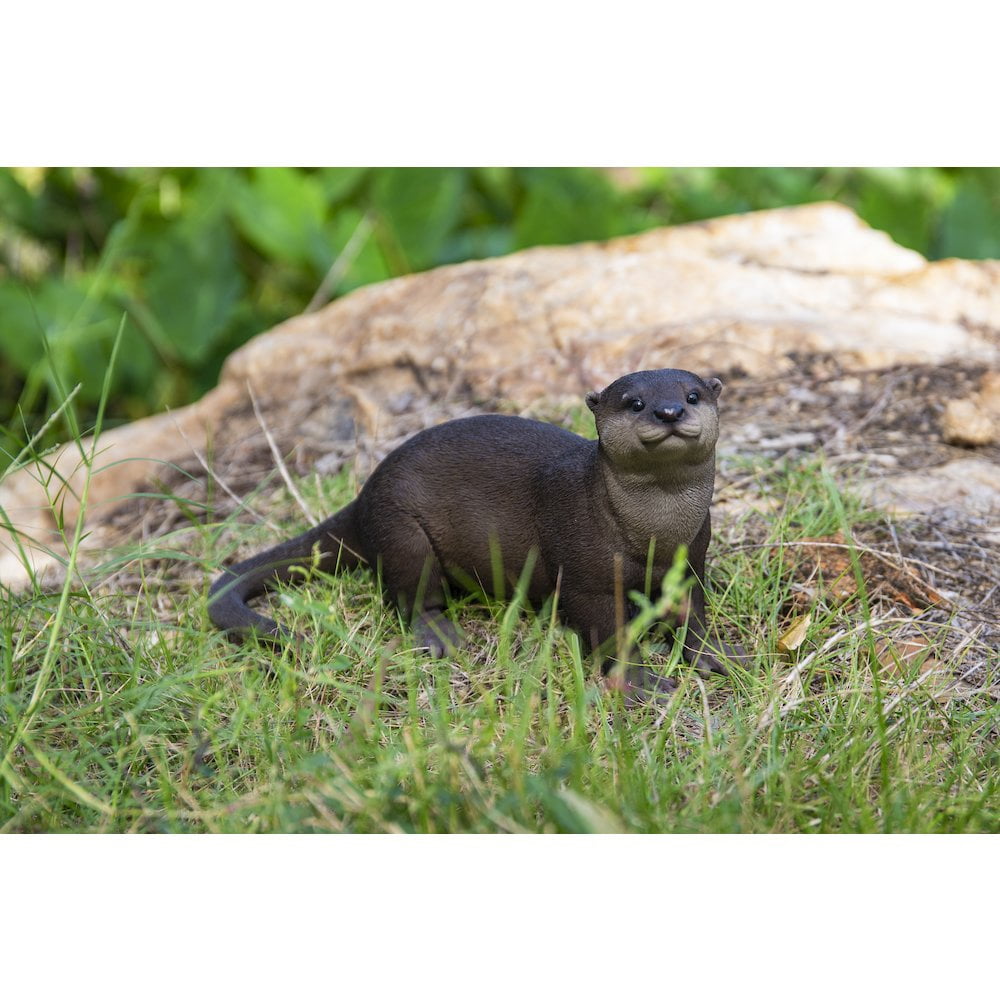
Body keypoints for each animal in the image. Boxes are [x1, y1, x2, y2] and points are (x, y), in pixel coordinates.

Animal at [208, 368, 742, 701]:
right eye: (635, 403)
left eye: (692, 395)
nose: (669, 412)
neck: (655, 537)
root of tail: (363, 496)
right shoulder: (586, 574)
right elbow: (607, 632)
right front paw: (638, 682)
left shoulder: (690, 562)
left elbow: (693, 616)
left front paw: (716, 656)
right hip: (401, 529)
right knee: (411, 594)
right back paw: (439, 634)